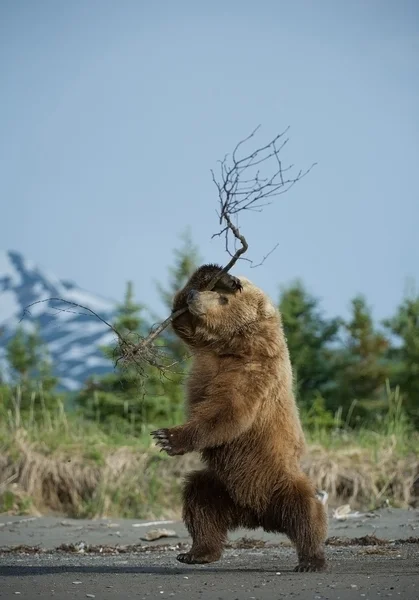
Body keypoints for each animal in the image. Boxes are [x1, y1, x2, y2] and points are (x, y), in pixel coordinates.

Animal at [153, 264, 330, 572]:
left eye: (223, 301)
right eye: (215, 293)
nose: (194, 297)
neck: (236, 345)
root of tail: (257, 514)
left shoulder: (254, 373)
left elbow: (227, 413)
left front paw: (167, 437)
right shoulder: (208, 348)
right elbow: (181, 322)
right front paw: (223, 275)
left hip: (277, 477)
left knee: (305, 510)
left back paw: (311, 559)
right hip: (222, 486)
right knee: (199, 502)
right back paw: (197, 552)